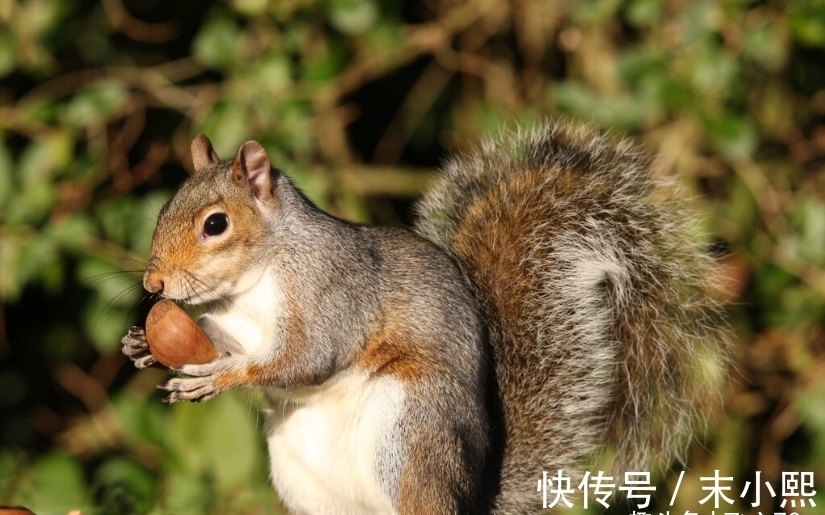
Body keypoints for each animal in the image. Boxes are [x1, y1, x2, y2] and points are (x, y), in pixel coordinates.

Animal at [122, 119, 728, 512]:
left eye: (216, 224)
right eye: (163, 207)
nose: (153, 284)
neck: (254, 282)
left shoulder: (332, 294)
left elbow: (305, 357)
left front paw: (215, 377)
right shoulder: (236, 324)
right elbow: (228, 343)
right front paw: (146, 345)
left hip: (411, 431)